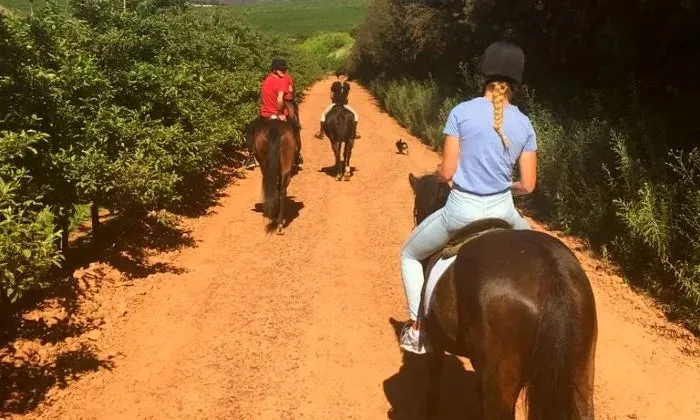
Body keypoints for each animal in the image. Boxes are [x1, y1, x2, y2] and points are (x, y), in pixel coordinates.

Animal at [408, 172, 600, 418]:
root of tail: (552, 273)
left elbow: (433, 380)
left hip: (501, 383)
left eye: (415, 211)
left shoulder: (436, 340)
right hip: (580, 374)